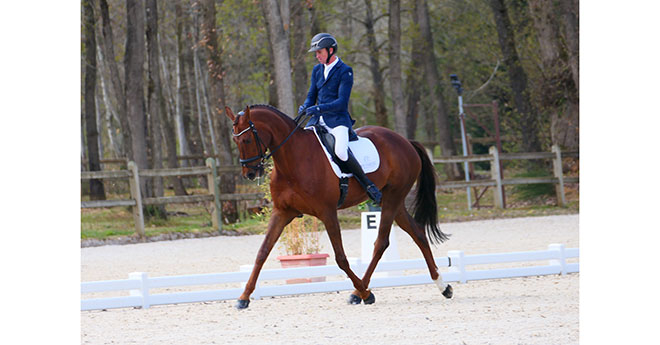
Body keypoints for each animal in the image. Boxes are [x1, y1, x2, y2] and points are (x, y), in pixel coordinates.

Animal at [224, 103, 452, 308]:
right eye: (235, 140)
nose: (249, 173)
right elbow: (262, 252)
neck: (292, 160)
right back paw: (443, 286)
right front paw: (244, 297)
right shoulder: (282, 212)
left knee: (381, 243)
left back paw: (359, 292)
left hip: (392, 198)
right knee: (418, 233)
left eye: (246, 139)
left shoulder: (328, 212)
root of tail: (405, 141)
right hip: (392, 201)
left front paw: (366, 293)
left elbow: (341, 258)